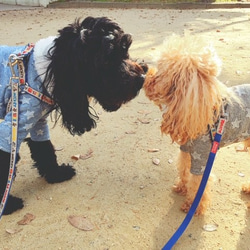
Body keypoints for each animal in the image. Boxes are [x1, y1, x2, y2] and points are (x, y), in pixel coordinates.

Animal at [0, 16, 147, 215]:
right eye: (106, 61)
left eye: (125, 52)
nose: (142, 79)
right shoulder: (13, 126)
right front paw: (8, 205)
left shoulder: (38, 123)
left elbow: (44, 149)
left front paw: (56, 175)